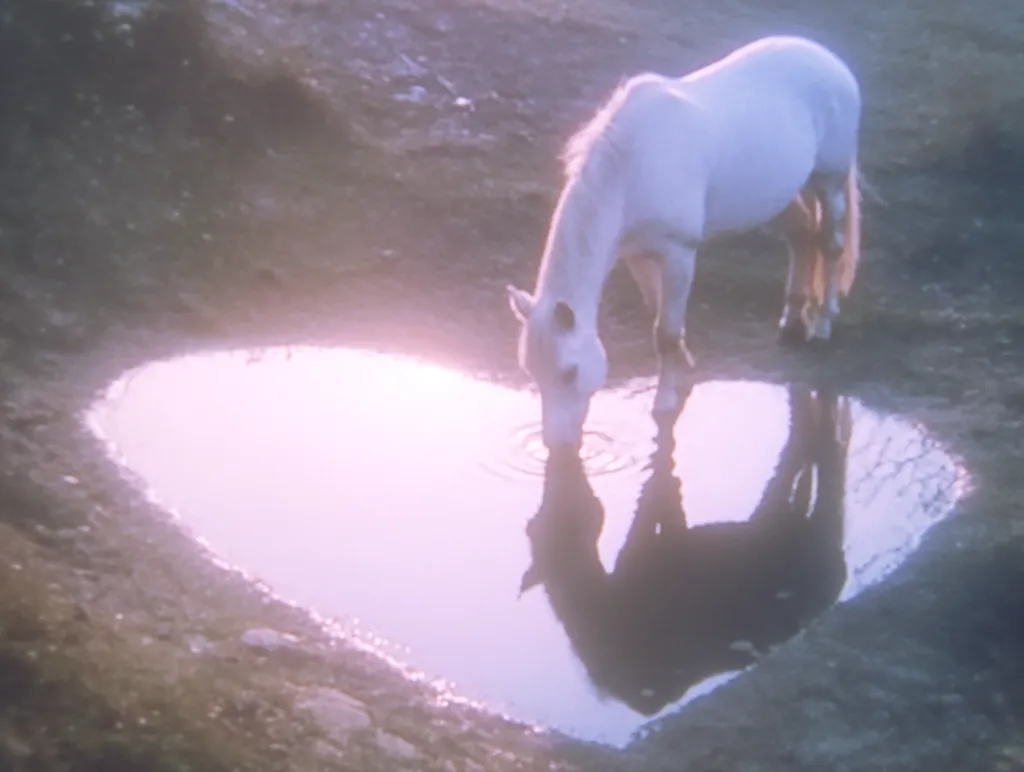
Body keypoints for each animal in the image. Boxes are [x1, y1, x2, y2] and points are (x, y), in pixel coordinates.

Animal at [506, 36, 863, 448]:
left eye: (569, 372)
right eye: (531, 371)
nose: (556, 445)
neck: (633, 167)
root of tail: (832, 61)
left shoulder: (678, 255)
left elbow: (666, 332)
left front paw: (664, 405)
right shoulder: (638, 254)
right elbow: (657, 313)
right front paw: (684, 375)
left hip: (829, 180)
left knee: (831, 244)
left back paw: (822, 325)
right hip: (782, 191)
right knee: (801, 235)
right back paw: (791, 322)